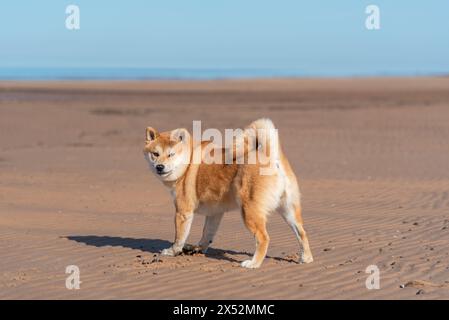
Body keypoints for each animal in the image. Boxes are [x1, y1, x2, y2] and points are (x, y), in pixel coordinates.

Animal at [143, 119, 312, 268]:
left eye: (171, 154)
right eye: (155, 154)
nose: (159, 167)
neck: (187, 163)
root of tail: (270, 156)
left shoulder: (183, 212)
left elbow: (179, 238)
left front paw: (172, 252)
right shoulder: (214, 213)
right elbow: (207, 235)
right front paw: (198, 249)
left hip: (249, 211)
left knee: (263, 238)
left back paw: (253, 264)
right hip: (289, 211)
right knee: (302, 233)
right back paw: (306, 258)